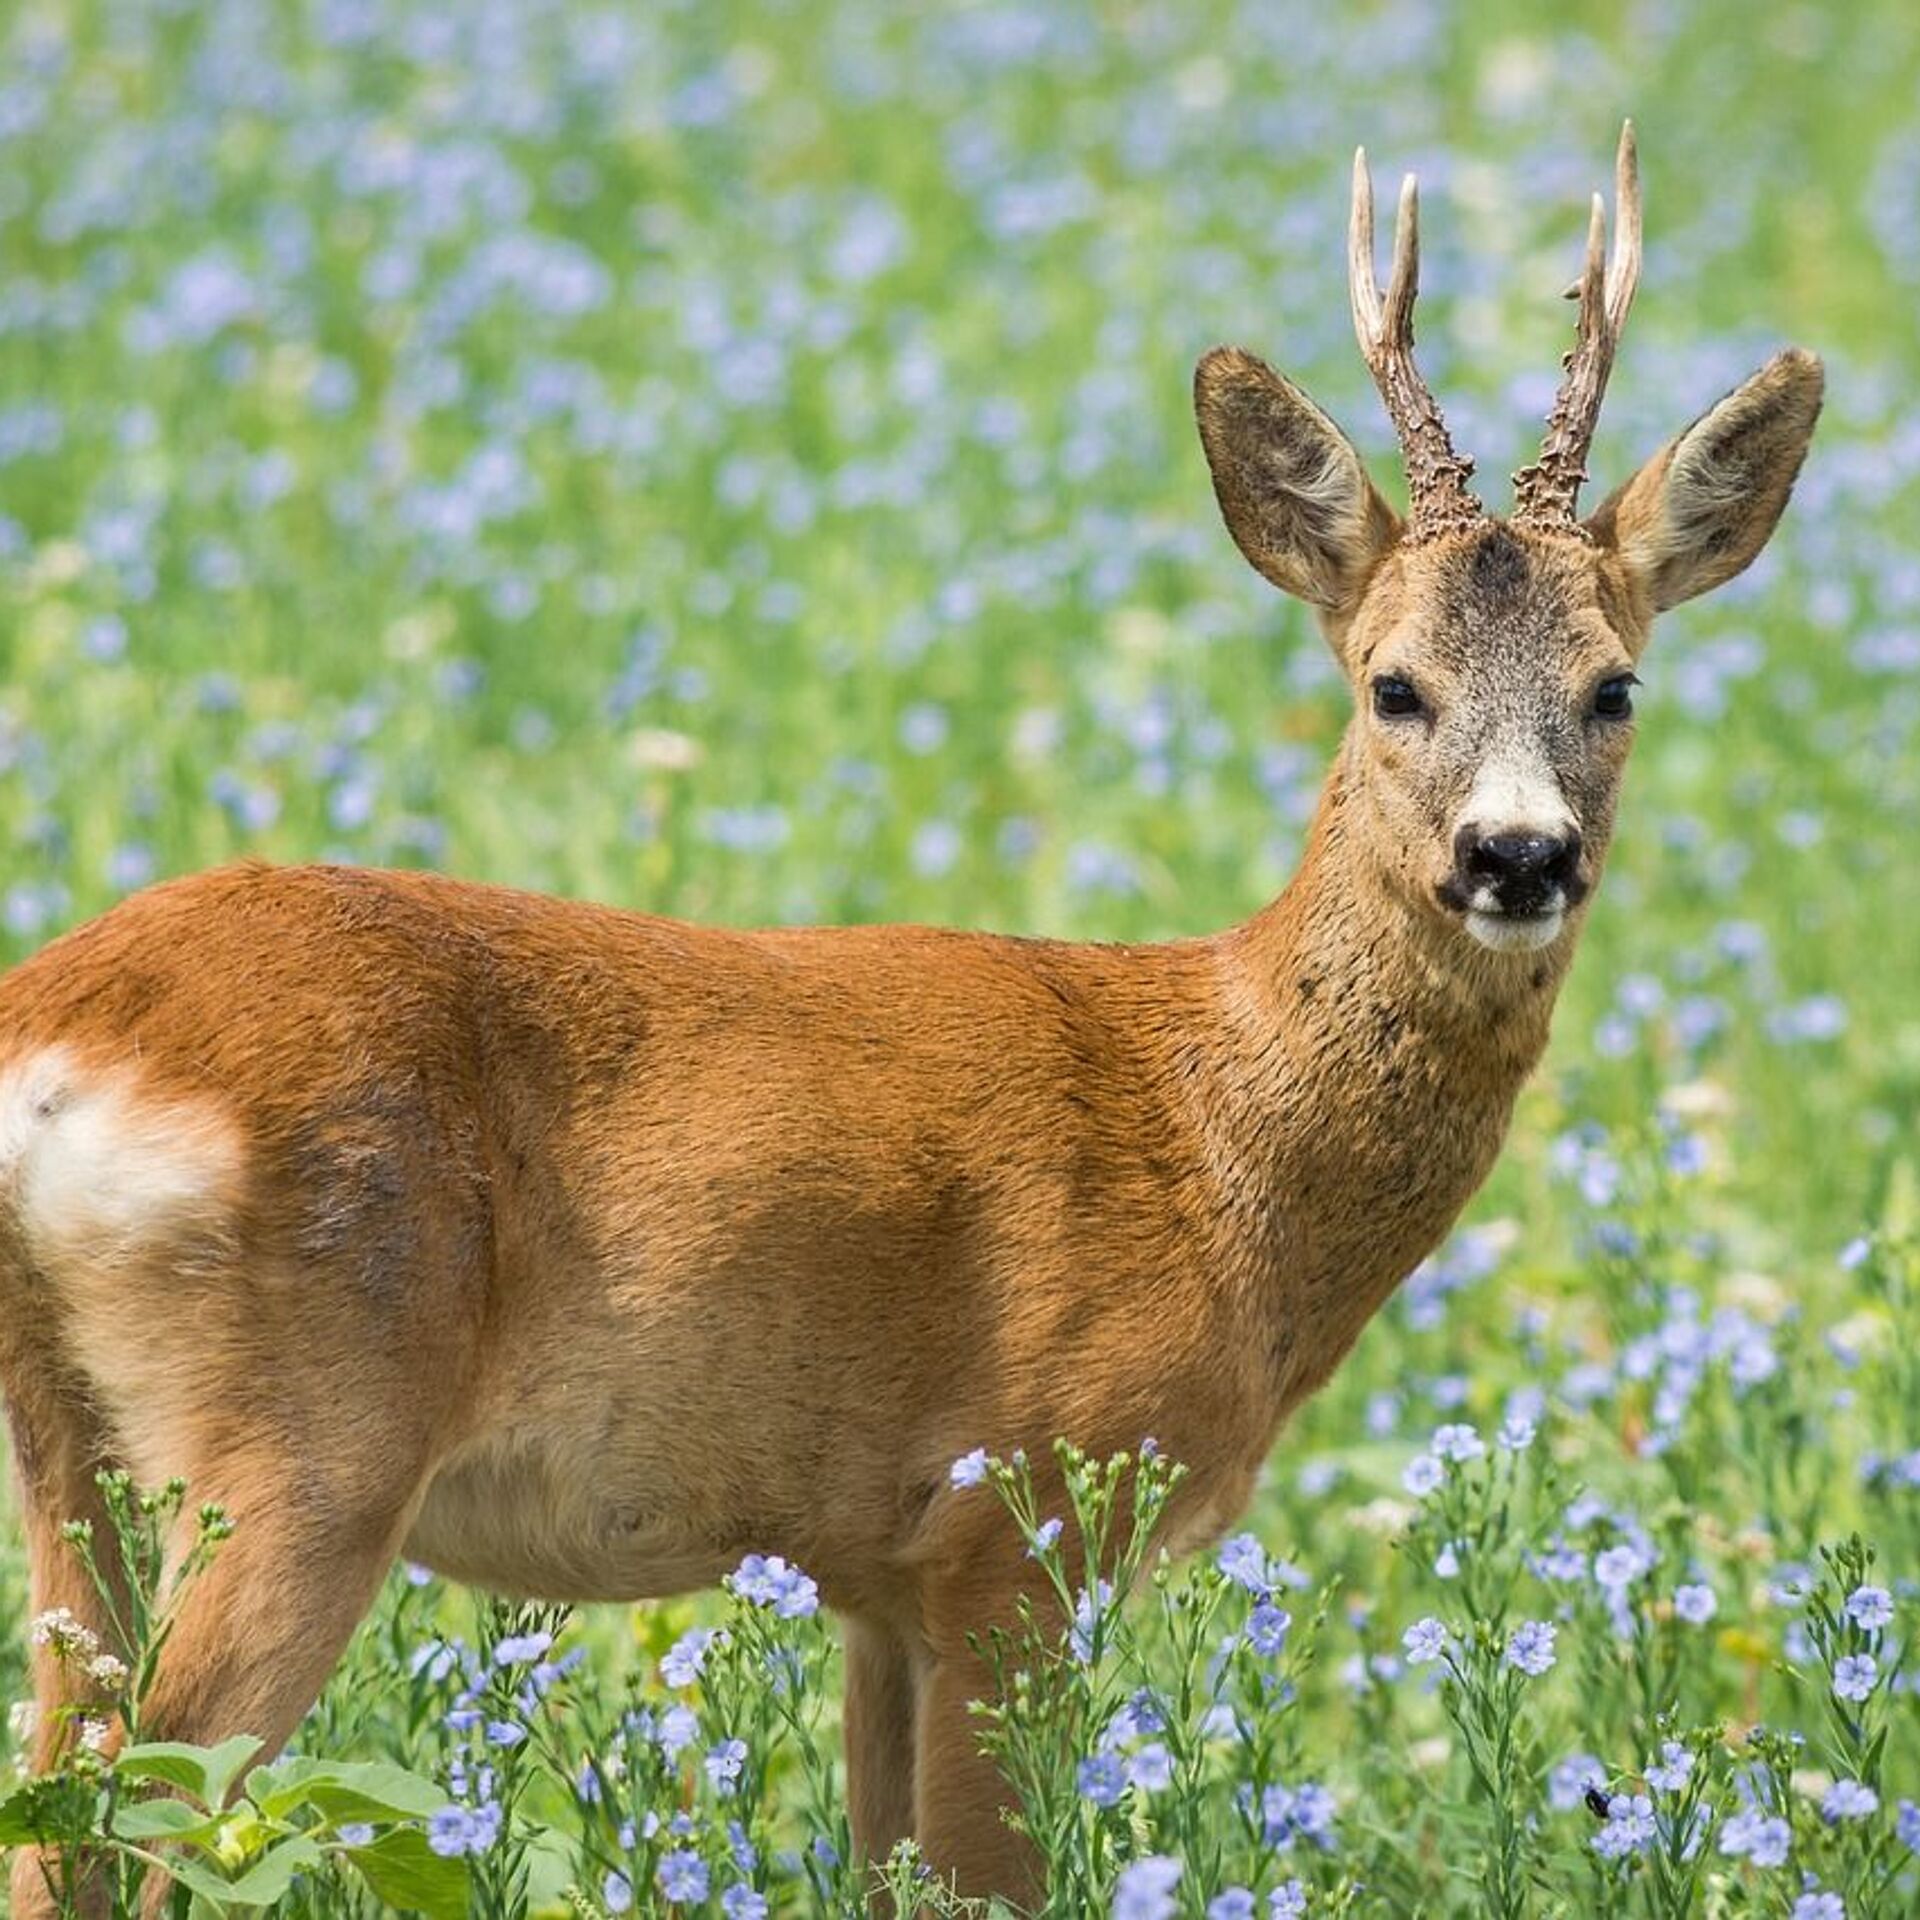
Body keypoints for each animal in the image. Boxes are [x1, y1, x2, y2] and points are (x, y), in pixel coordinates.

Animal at [0, 127, 1820, 1912]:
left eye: (1614, 687)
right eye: (1393, 685)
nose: (1519, 854)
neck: (1218, 1139)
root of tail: (55, 1029)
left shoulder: (874, 1574)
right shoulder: (1018, 1519)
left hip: (77, 1452)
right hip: (304, 1441)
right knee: (140, 1813)